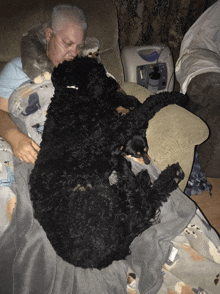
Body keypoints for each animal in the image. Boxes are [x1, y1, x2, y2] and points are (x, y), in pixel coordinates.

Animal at [28, 56, 187, 270]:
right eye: (99, 72)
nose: (114, 82)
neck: (72, 94)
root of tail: (103, 258)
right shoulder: (118, 127)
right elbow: (147, 107)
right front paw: (175, 97)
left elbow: (123, 102)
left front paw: (129, 99)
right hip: (113, 203)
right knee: (146, 200)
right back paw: (168, 174)